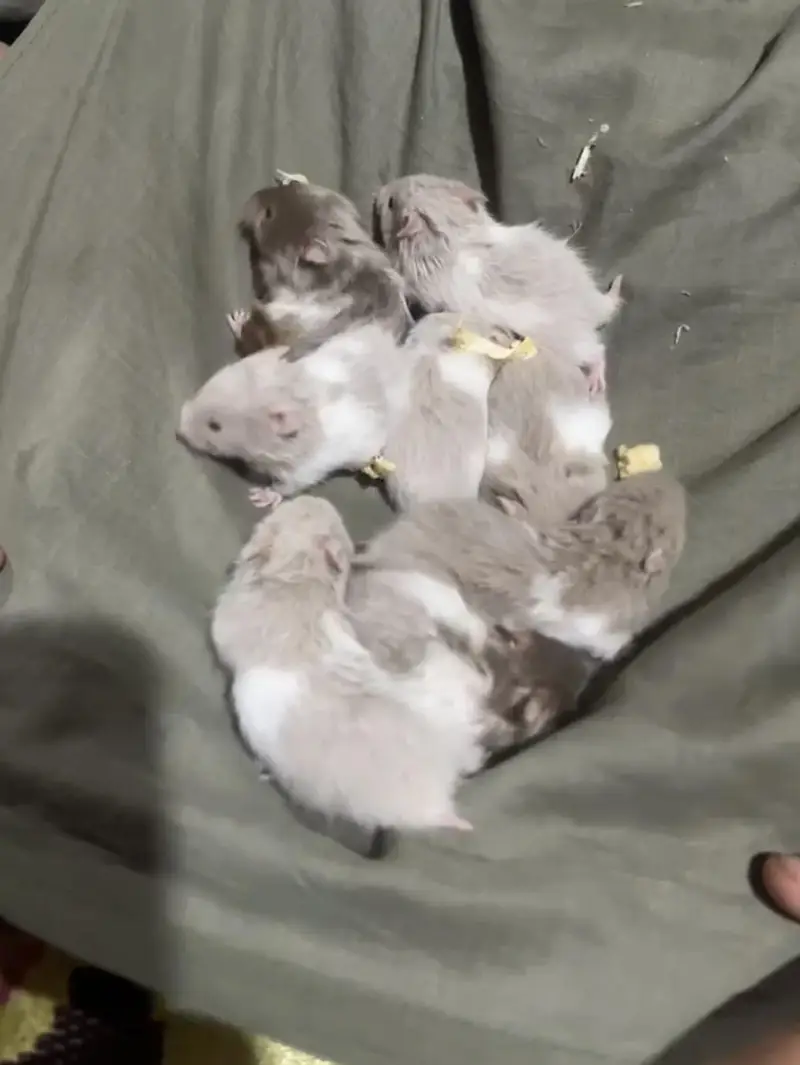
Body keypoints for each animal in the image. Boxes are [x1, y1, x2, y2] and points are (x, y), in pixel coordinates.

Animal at [177, 323, 415, 508]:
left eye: (215, 426)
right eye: (207, 384)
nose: (178, 429)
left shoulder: (304, 469)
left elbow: (289, 485)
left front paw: (266, 494)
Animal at [373, 173, 621, 393]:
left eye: (391, 203)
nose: (379, 192)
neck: (451, 231)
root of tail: (594, 303)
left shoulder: (424, 290)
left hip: (572, 344)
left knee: (598, 351)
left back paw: (595, 382)